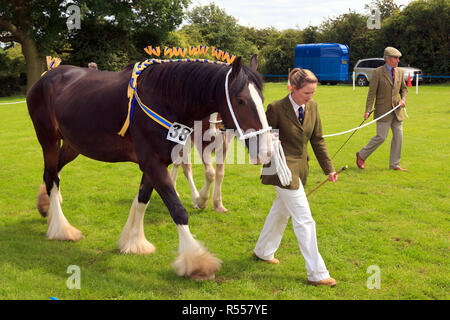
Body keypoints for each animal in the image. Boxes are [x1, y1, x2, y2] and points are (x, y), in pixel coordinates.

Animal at [26, 55, 272, 280]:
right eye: (241, 100)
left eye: (261, 98)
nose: (266, 151)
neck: (163, 99)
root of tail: (45, 77)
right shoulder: (152, 162)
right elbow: (177, 209)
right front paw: (197, 261)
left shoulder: (156, 163)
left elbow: (142, 199)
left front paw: (133, 241)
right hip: (48, 139)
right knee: (51, 177)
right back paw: (61, 228)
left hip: (72, 145)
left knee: (53, 173)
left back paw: (47, 205)